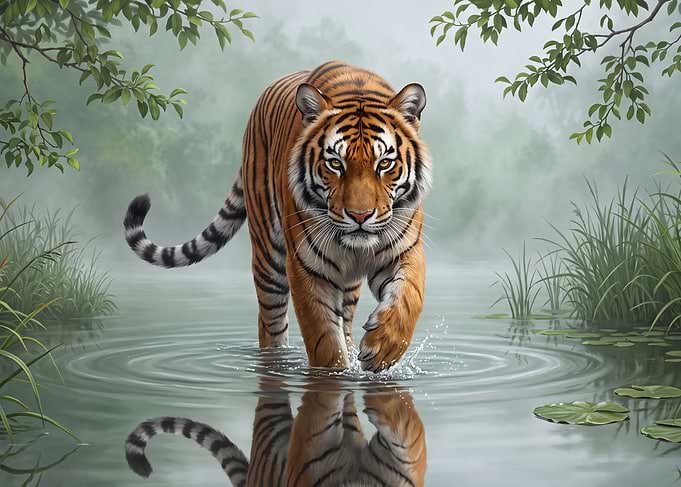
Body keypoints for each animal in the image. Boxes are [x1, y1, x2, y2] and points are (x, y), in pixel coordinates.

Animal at [124, 60, 432, 372]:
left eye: (385, 164)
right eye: (335, 163)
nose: (360, 216)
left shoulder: (404, 250)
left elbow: (409, 298)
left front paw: (383, 348)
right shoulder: (306, 266)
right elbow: (322, 337)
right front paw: (334, 371)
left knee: (345, 319)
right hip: (268, 260)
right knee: (269, 324)